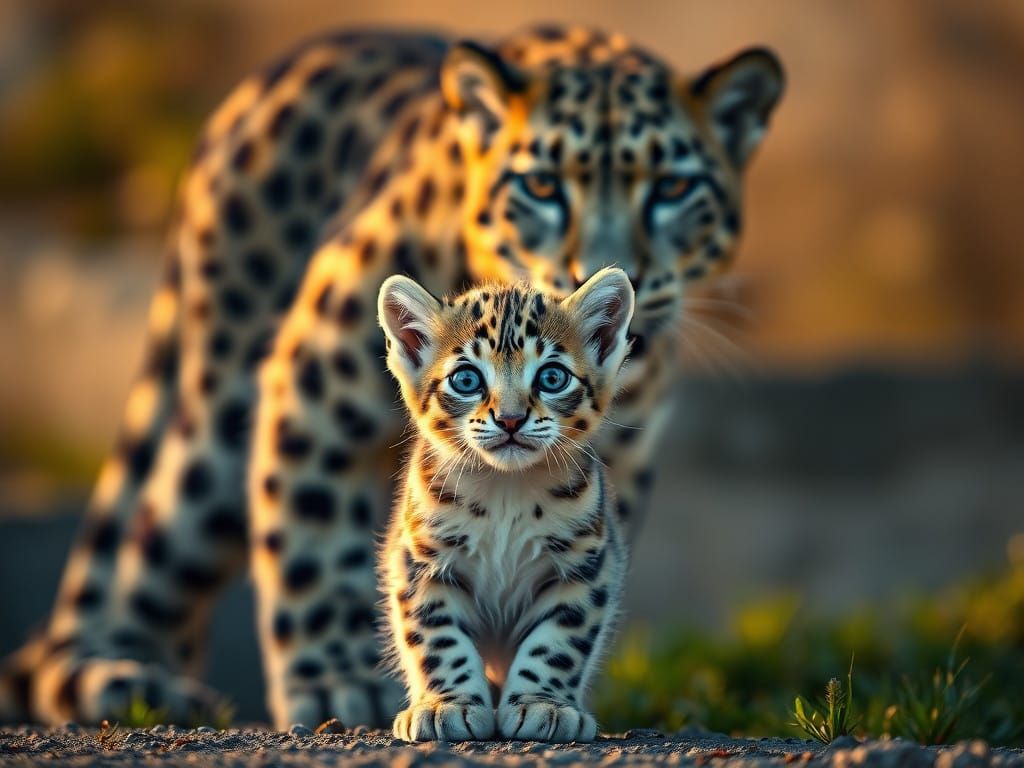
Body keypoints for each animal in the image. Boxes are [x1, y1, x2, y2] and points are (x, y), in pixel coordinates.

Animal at [379, 268, 634, 742]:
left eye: (552, 377)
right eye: (466, 379)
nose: (511, 419)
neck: (505, 491)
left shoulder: (584, 564)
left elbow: (558, 642)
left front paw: (542, 704)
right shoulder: (421, 561)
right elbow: (437, 637)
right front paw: (447, 705)